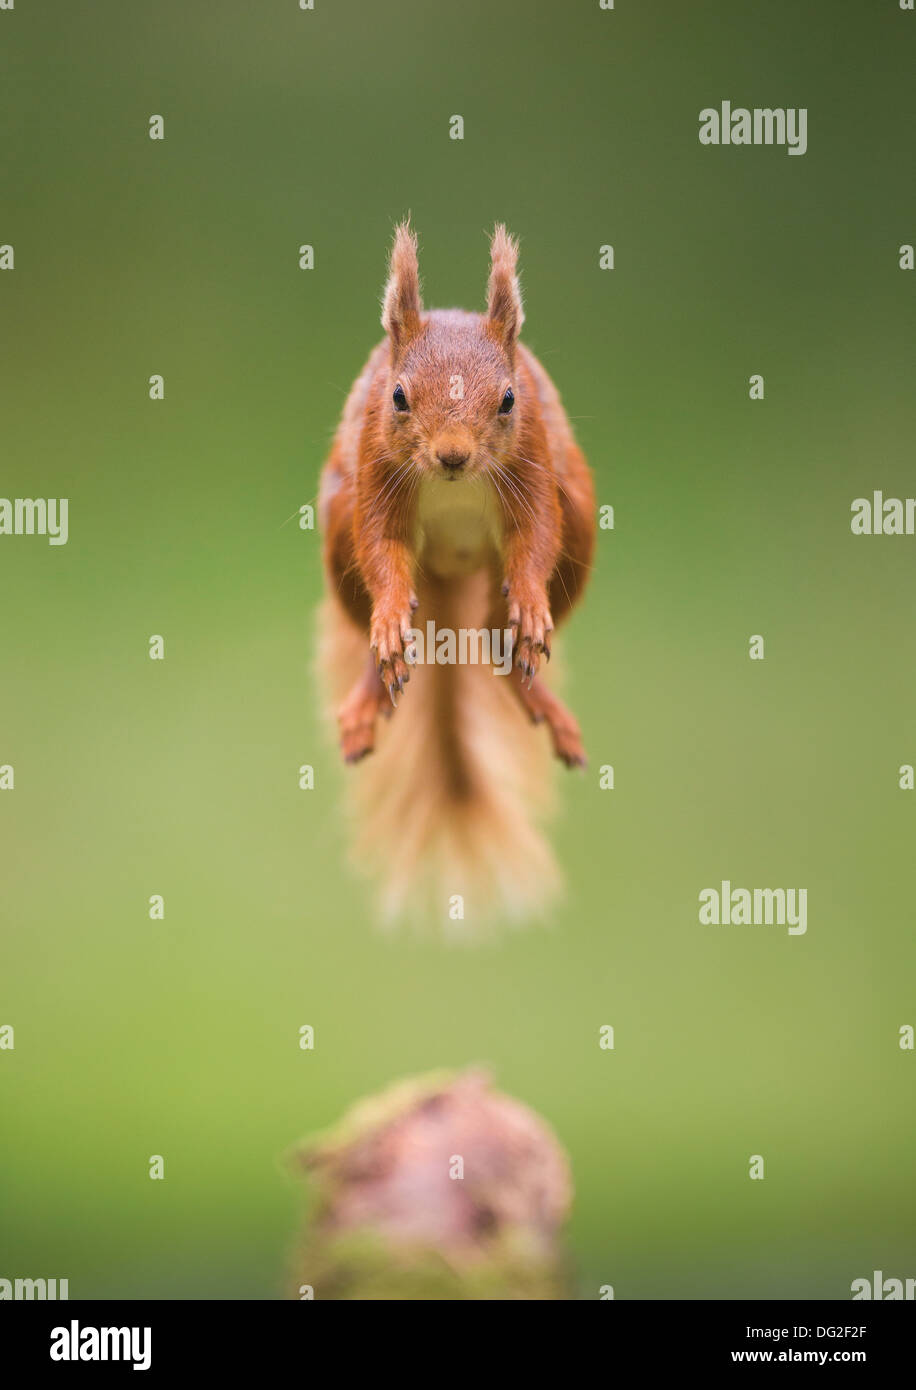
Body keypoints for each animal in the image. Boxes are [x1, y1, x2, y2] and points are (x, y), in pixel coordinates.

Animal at [318, 225, 597, 922]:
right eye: (396, 396)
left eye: (509, 399)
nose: (452, 456)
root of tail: (448, 574)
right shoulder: (374, 468)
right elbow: (382, 548)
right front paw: (392, 618)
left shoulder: (533, 461)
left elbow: (534, 540)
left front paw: (532, 601)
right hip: (336, 526)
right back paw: (373, 686)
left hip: (579, 517)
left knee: (502, 634)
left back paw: (528, 680)